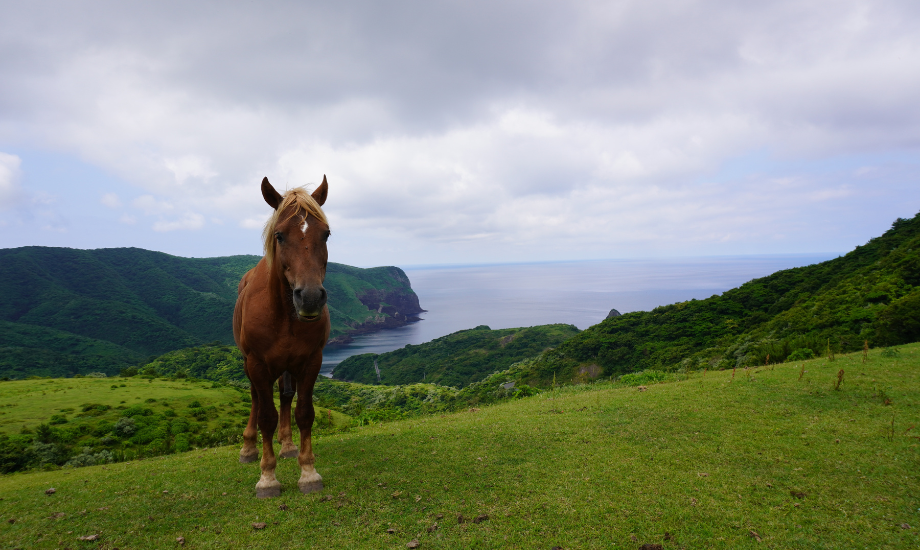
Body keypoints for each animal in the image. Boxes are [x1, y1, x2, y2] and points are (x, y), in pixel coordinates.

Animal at [234, 177, 330, 500]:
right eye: (279, 235)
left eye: (326, 233)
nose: (310, 297)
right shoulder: (257, 364)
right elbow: (266, 416)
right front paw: (267, 478)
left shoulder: (312, 361)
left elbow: (304, 413)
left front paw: (308, 472)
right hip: (250, 363)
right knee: (256, 398)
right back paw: (249, 448)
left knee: (286, 397)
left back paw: (287, 445)